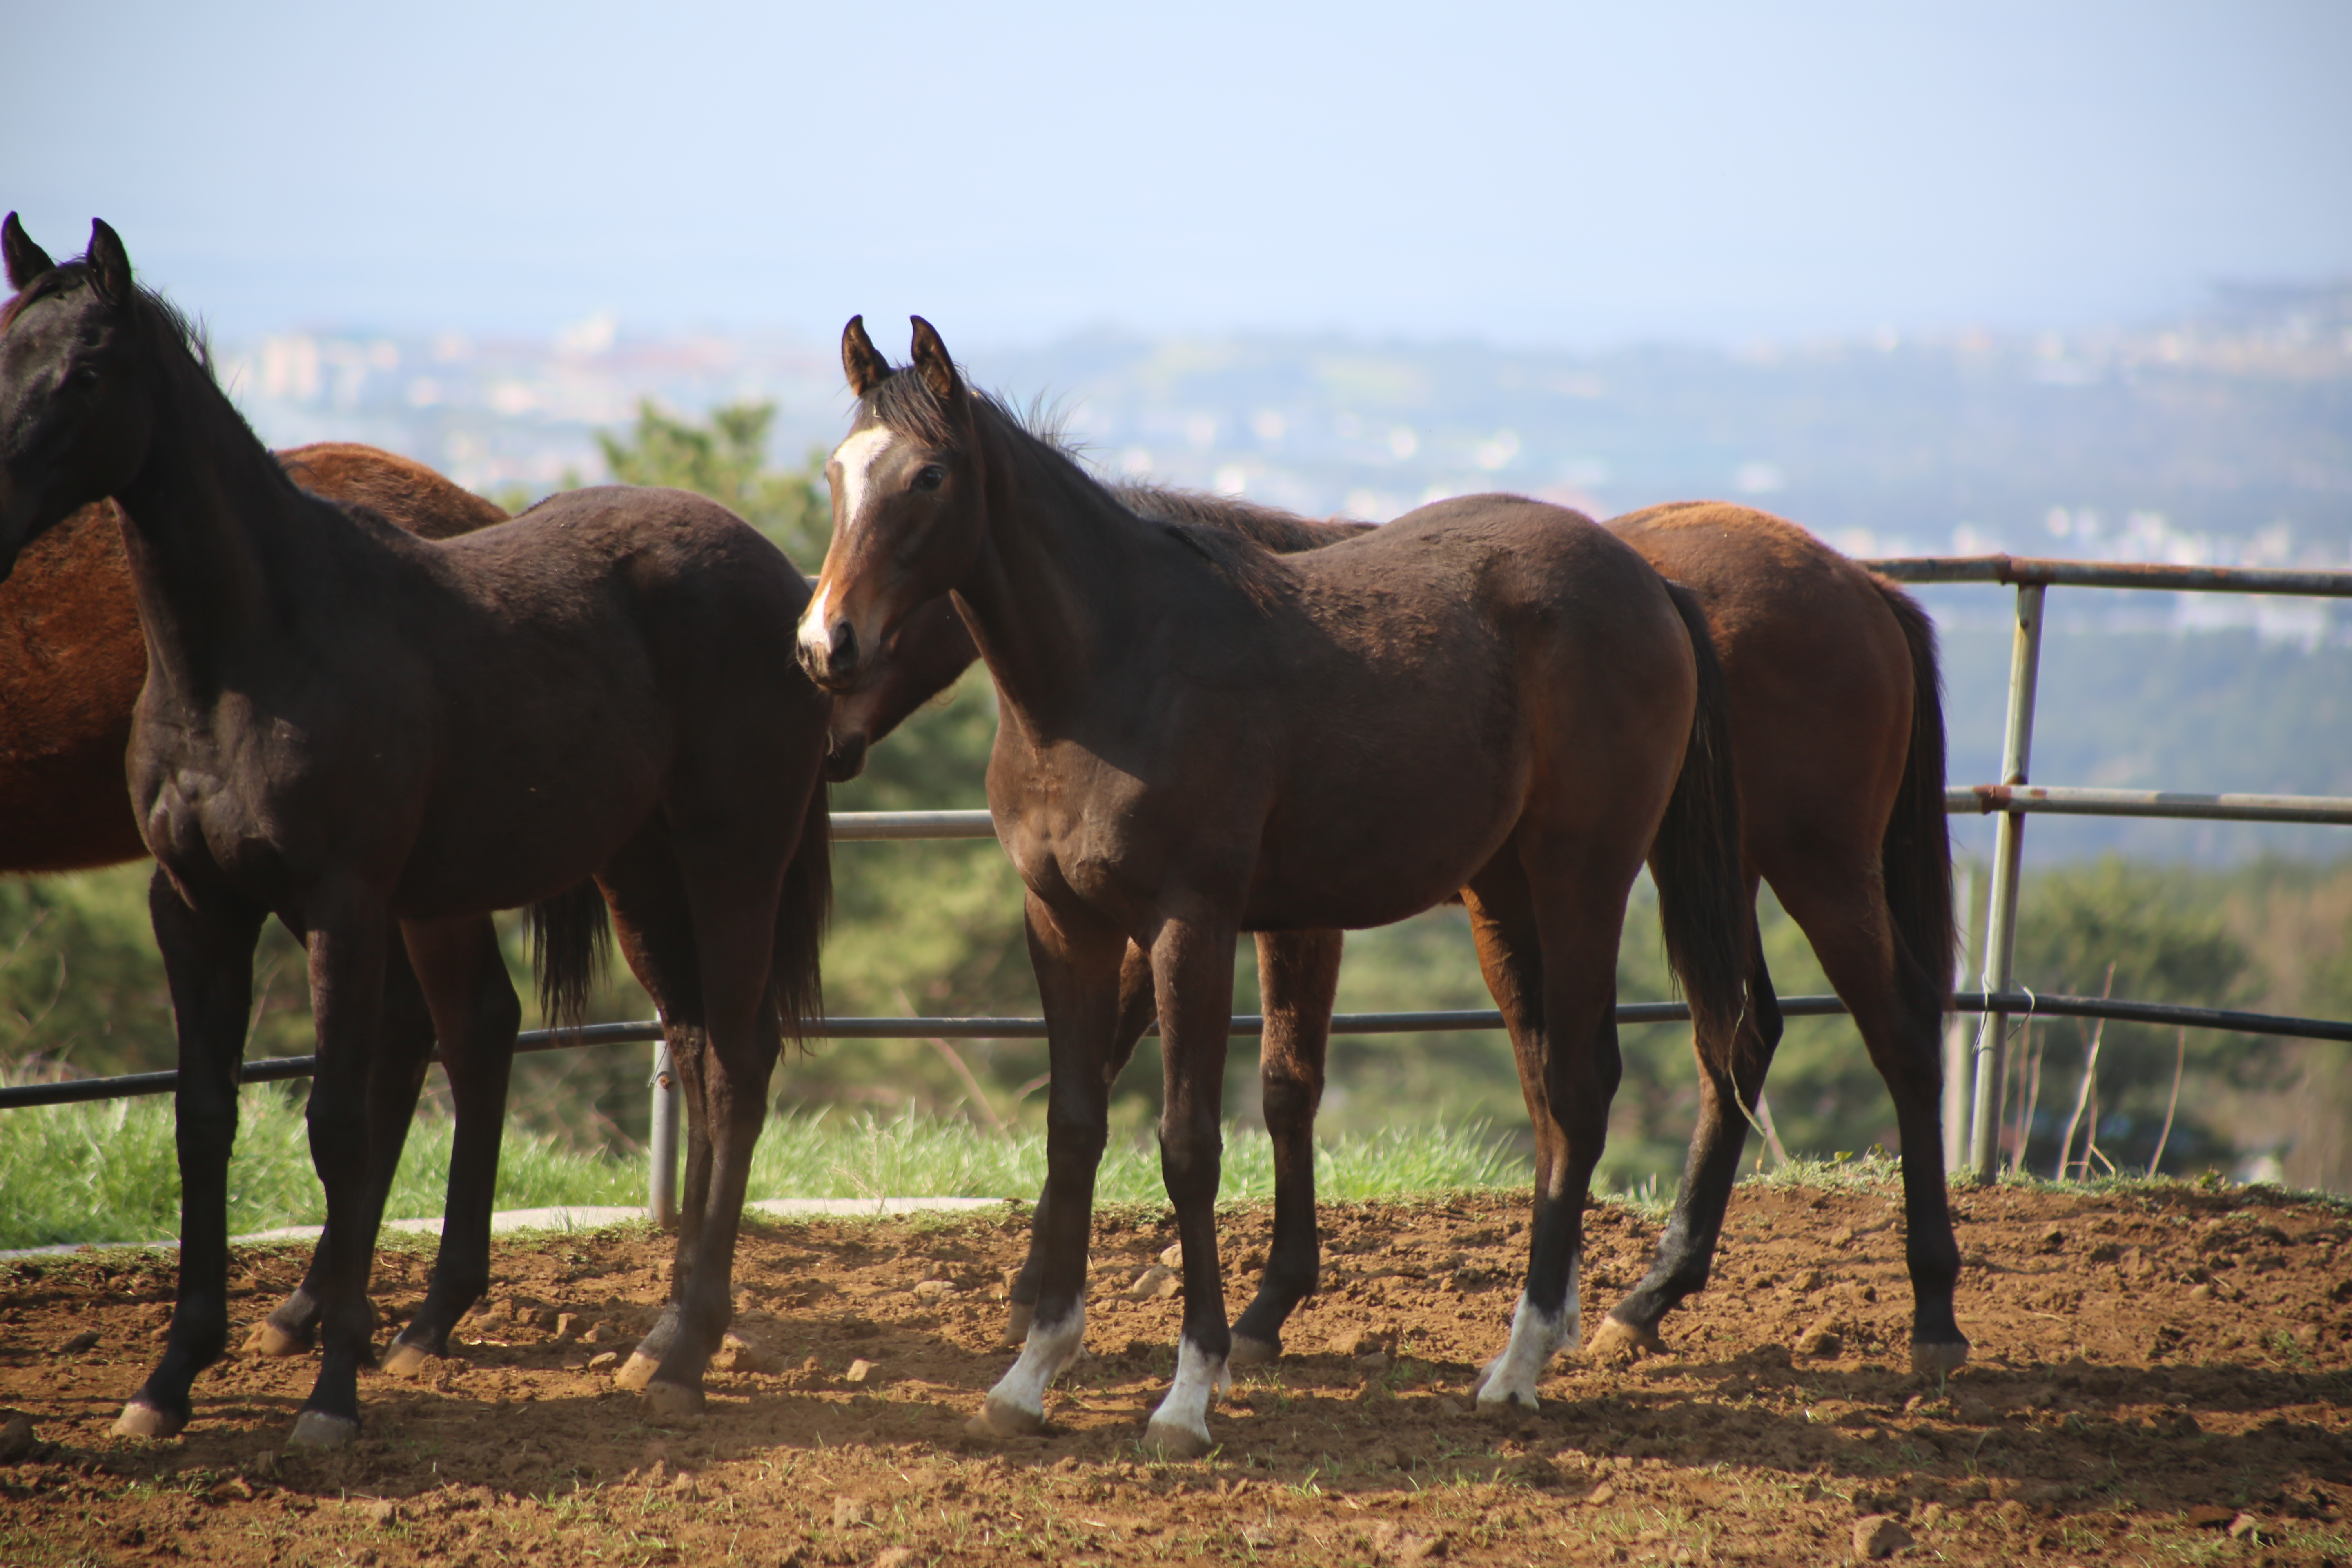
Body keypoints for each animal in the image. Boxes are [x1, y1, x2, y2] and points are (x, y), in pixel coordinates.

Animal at [0, 217, 833, 1448]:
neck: (258, 649)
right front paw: (170, 1378)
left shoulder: (342, 906)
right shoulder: (196, 906)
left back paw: (681, 1352)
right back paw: (659, 1329)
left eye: (87, 371)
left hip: (732, 862)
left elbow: (337, 1123)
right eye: (5, 347)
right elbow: (203, 1117)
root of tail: (790, 584)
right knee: (682, 1046)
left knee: (733, 1059)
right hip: (640, 874)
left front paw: (332, 1393)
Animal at [800, 319, 1759, 1457]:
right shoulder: (1064, 922)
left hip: (1584, 877)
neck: (1114, 671)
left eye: (930, 476)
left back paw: (1520, 1362)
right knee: (1552, 1092)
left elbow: (1189, 1144)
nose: (823, 647)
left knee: (1582, 1082)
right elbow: (1076, 1124)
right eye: (837, 474)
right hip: (1505, 895)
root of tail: (1651, 583)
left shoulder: (1192, 924)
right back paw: (1552, 1325)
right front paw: (1030, 1371)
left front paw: (1189, 1391)